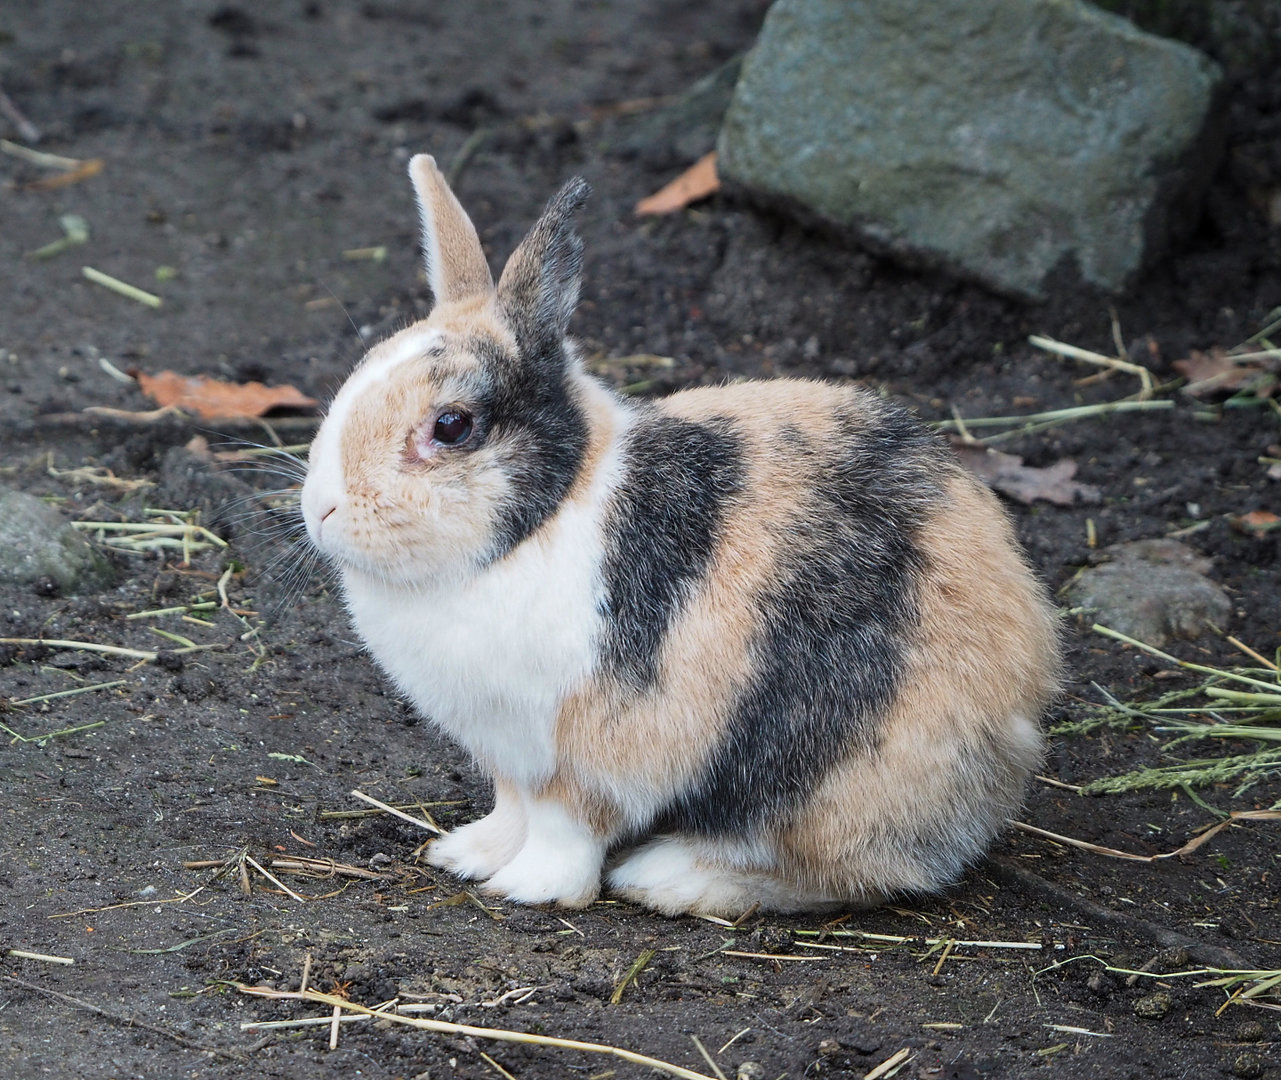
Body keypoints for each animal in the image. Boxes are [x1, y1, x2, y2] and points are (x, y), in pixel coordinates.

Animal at [299, 154, 1061, 917]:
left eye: (452, 426)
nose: (321, 510)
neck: (545, 517)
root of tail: (1019, 720)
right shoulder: (508, 752)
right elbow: (511, 810)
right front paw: (466, 856)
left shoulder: (590, 749)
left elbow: (565, 827)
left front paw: (530, 889)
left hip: (826, 779)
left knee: (835, 870)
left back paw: (668, 878)